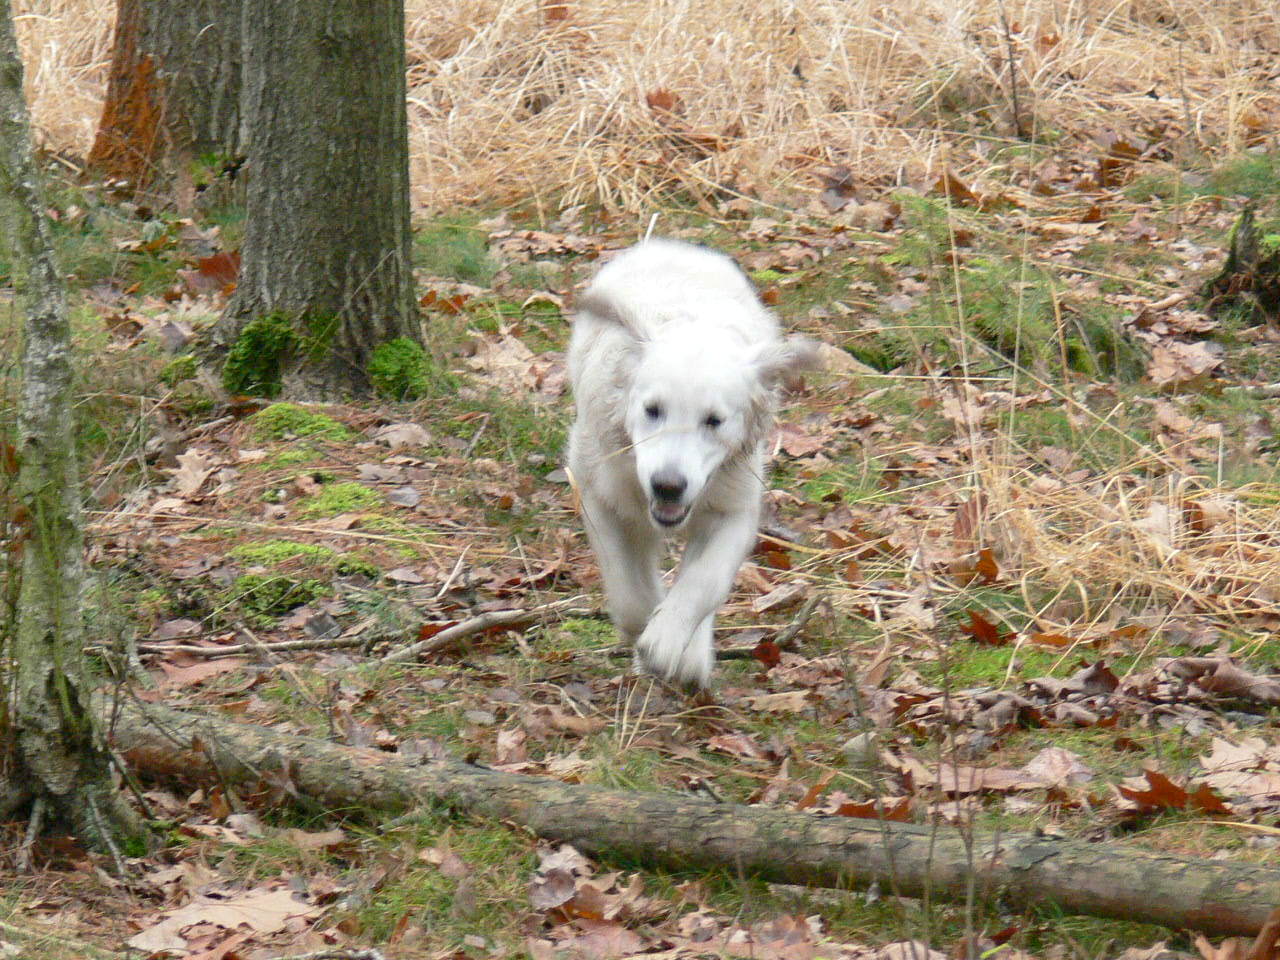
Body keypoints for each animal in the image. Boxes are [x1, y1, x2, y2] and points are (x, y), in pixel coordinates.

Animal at [568, 240, 814, 691]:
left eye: (714, 421)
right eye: (652, 410)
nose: (668, 485)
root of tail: (672, 245)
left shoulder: (734, 503)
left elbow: (705, 582)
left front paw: (669, 643)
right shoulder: (597, 488)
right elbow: (627, 587)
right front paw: (646, 629)